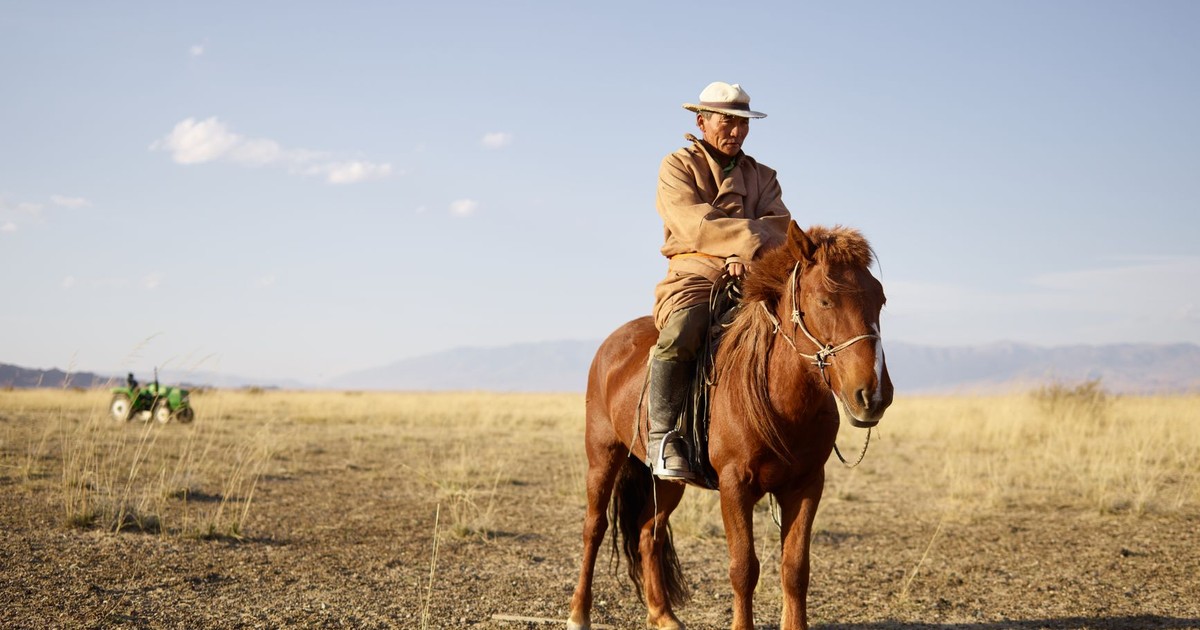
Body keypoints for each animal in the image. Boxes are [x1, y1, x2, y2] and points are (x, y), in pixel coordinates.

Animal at [567, 222, 894, 630]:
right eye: (825, 301)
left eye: (880, 300)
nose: (874, 394)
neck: (777, 396)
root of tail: (611, 345)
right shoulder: (734, 486)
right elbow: (743, 569)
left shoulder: (806, 485)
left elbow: (795, 569)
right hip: (603, 455)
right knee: (593, 529)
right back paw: (579, 613)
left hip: (668, 479)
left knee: (647, 533)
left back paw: (663, 615)